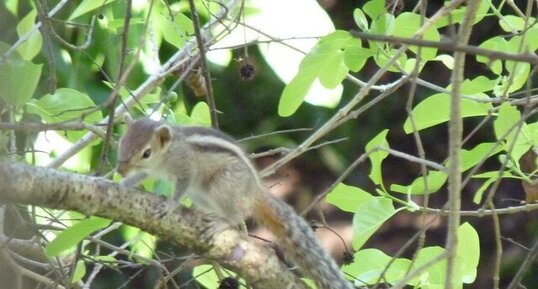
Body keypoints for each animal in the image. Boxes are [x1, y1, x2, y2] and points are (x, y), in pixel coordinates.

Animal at [116, 117, 352, 288]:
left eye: (147, 152)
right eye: (121, 141)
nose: (120, 169)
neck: (167, 153)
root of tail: (255, 190)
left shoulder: (185, 168)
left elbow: (180, 186)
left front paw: (170, 204)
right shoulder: (148, 172)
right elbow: (138, 177)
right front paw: (122, 183)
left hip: (223, 183)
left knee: (238, 215)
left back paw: (222, 222)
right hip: (201, 194)